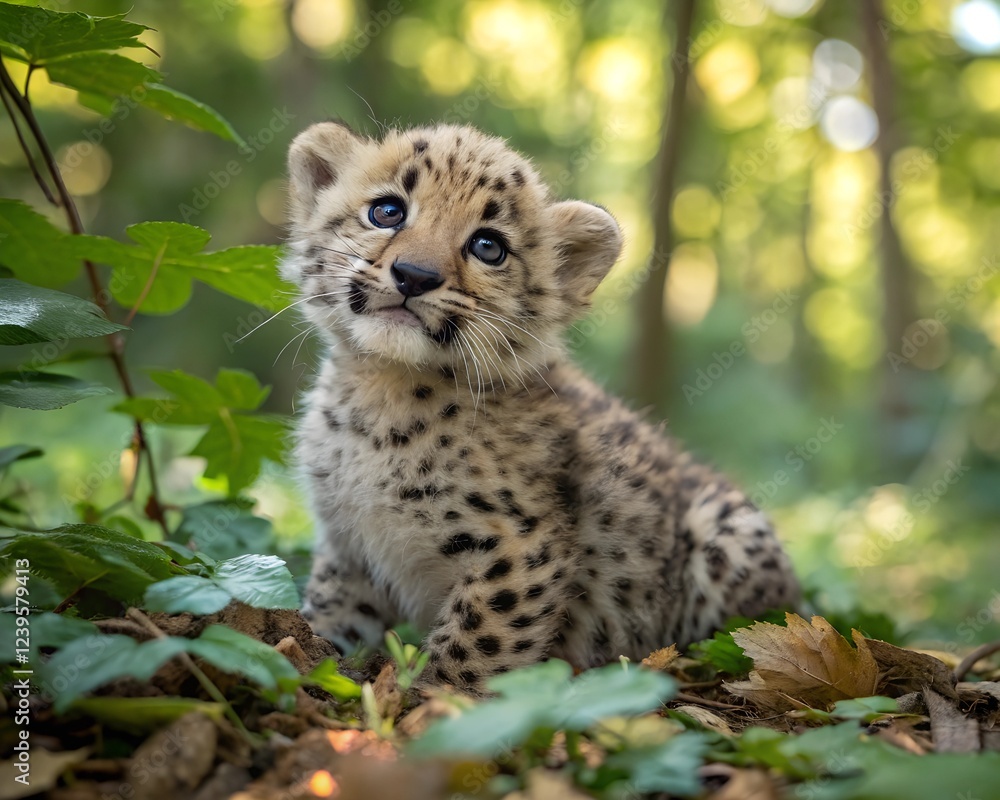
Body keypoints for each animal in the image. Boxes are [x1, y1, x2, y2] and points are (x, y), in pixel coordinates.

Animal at [280, 120, 799, 692]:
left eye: (488, 247)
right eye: (387, 211)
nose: (415, 275)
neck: (380, 390)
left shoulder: (519, 546)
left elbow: (477, 642)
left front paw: (437, 701)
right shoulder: (349, 542)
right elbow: (334, 610)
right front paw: (314, 654)